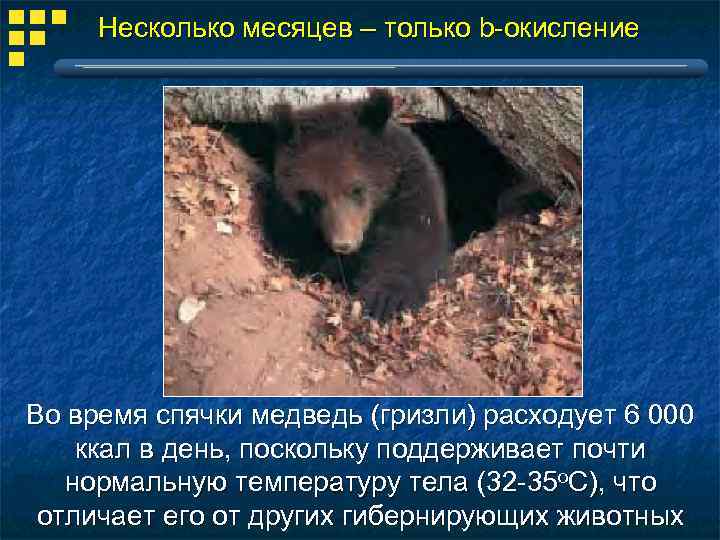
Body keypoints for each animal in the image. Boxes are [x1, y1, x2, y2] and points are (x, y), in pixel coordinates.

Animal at [262, 89, 450, 320]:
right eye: (313, 197)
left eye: (356, 188)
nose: (343, 244)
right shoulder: (288, 216)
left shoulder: (411, 188)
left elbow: (411, 241)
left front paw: (386, 298)